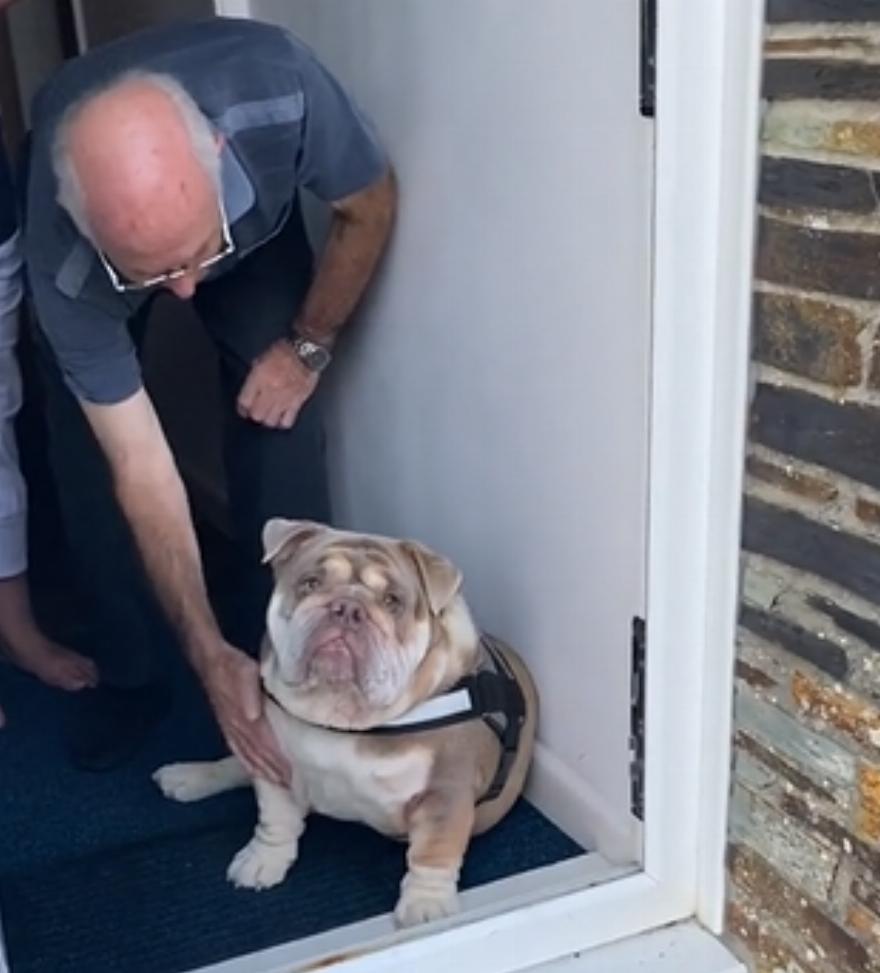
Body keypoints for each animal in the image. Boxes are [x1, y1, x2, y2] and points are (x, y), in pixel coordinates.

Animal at [154, 519, 538, 927]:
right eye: (310, 583)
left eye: (392, 602)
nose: (348, 607)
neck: (340, 714)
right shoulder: (274, 764)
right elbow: (275, 818)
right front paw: (263, 858)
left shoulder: (445, 793)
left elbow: (432, 854)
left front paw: (426, 907)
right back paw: (188, 776)